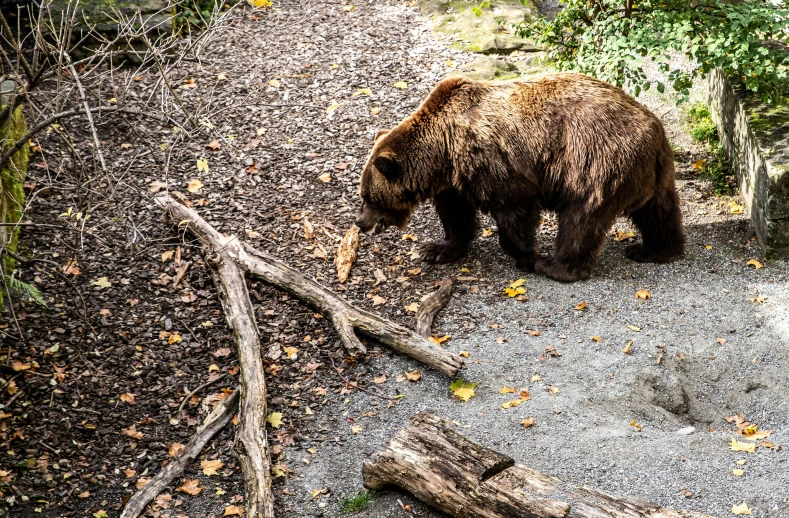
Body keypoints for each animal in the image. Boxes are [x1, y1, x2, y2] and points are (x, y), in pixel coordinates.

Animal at [356, 72, 684, 282]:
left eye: (368, 196)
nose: (360, 223)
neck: (443, 151)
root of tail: (654, 129)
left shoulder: (490, 161)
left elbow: (515, 209)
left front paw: (525, 255)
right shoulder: (455, 181)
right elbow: (456, 215)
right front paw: (436, 249)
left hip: (595, 162)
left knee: (582, 217)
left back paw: (555, 266)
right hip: (655, 172)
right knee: (658, 211)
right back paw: (654, 250)